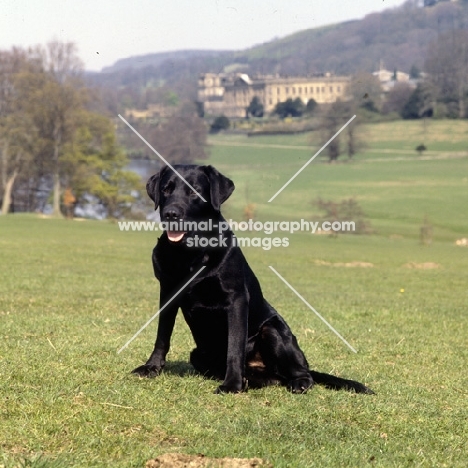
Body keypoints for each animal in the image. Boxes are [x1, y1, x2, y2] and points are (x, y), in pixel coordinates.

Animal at [133, 165, 374, 394]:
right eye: (166, 190)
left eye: (194, 192)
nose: (170, 214)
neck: (190, 254)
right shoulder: (168, 292)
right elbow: (162, 335)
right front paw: (152, 367)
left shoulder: (237, 299)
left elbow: (234, 347)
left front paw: (232, 384)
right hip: (198, 355)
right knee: (272, 379)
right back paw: (249, 380)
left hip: (273, 330)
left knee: (301, 373)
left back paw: (295, 382)